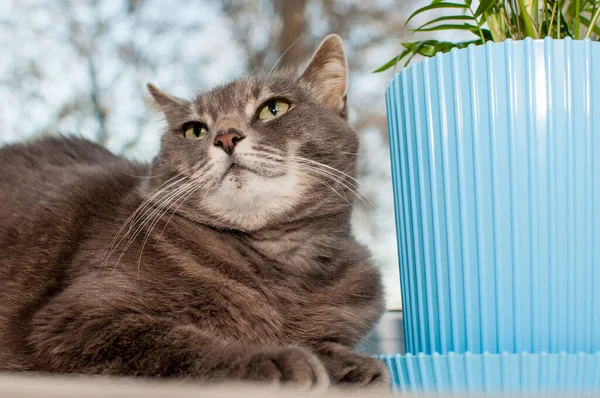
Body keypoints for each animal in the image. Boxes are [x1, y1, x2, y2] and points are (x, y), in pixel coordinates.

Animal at [0, 34, 386, 388]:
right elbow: (181, 342)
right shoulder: (77, 319)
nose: (226, 137)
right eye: (194, 130)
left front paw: (356, 364)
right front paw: (272, 359)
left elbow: (321, 341)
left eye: (273, 109)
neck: (278, 263)